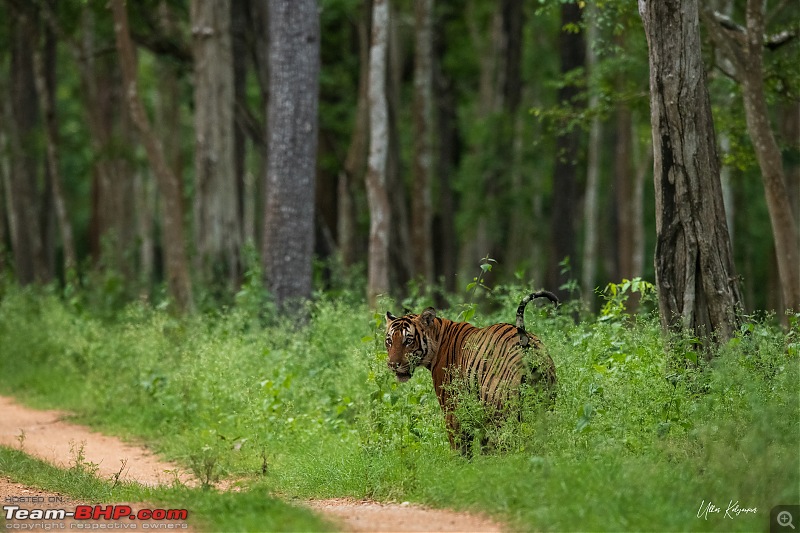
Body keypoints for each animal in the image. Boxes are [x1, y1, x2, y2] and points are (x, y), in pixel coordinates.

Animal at [386, 290, 560, 454]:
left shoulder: (453, 411)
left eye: (408, 341)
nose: (392, 364)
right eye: (389, 341)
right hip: (544, 403)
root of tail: (526, 341)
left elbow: (460, 447)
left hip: (499, 411)